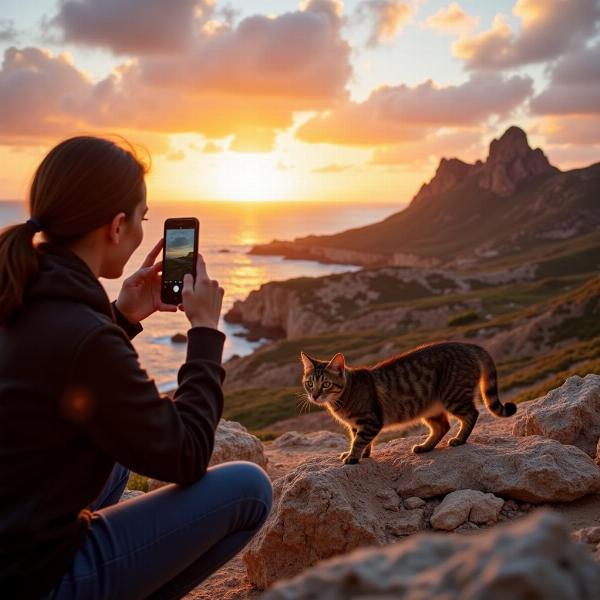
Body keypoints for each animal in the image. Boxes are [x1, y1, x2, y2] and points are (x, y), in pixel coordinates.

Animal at [300, 342, 516, 464]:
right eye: (310, 383)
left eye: (326, 384)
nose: (315, 396)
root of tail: (469, 345)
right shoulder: (356, 424)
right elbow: (359, 440)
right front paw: (363, 454)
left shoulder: (370, 420)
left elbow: (360, 440)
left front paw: (353, 457)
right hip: (430, 407)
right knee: (442, 426)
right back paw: (425, 446)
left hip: (453, 396)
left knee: (472, 414)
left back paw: (459, 439)